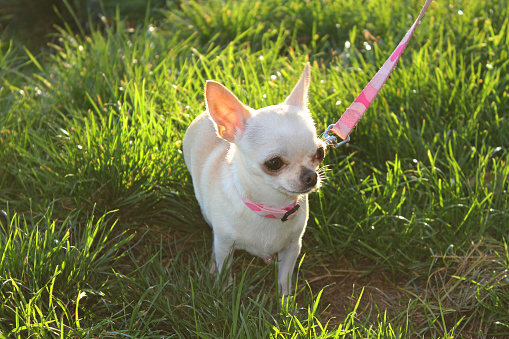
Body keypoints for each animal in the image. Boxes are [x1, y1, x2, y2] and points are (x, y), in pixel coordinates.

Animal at [183, 63, 326, 298]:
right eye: (274, 163)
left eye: (320, 153)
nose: (311, 176)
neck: (271, 208)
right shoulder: (225, 245)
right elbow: (224, 271)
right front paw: (225, 295)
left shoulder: (292, 247)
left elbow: (284, 278)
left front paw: (286, 303)